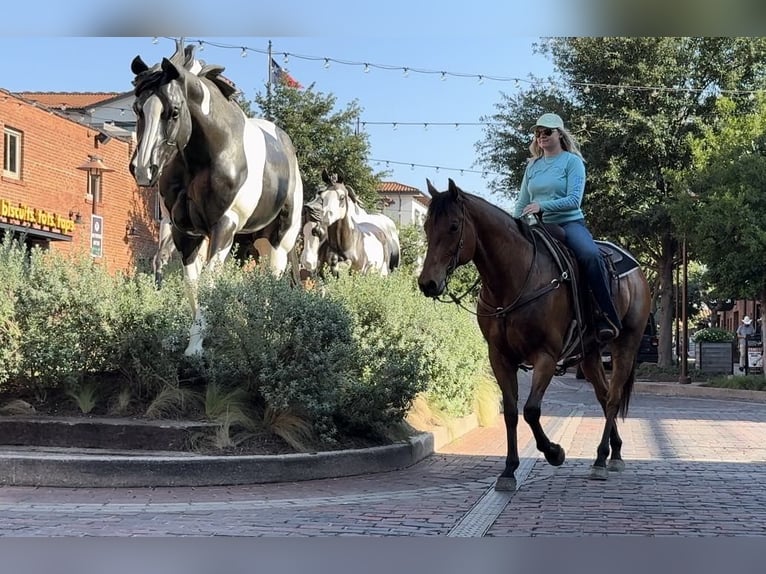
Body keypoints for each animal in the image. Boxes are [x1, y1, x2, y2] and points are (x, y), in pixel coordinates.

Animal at [129, 40, 304, 356]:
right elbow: (193, 283)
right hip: (256, 239)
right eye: (138, 109)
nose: (143, 169)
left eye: (174, 111)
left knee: (274, 275)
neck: (207, 155)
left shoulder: (224, 225)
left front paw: (197, 346)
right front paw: (196, 343)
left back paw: (268, 334)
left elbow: (210, 280)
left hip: (280, 239)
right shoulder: (185, 232)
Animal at [420, 179, 656, 490]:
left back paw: (601, 458)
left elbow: (531, 410)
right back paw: (612, 452)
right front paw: (509, 470)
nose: (427, 283)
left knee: (614, 397)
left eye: (454, 226)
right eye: (426, 225)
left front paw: (555, 452)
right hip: (590, 354)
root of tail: (638, 272)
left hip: (625, 345)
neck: (514, 280)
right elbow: (511, 411)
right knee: (604, 396)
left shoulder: (546, 355)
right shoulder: (499, 357)